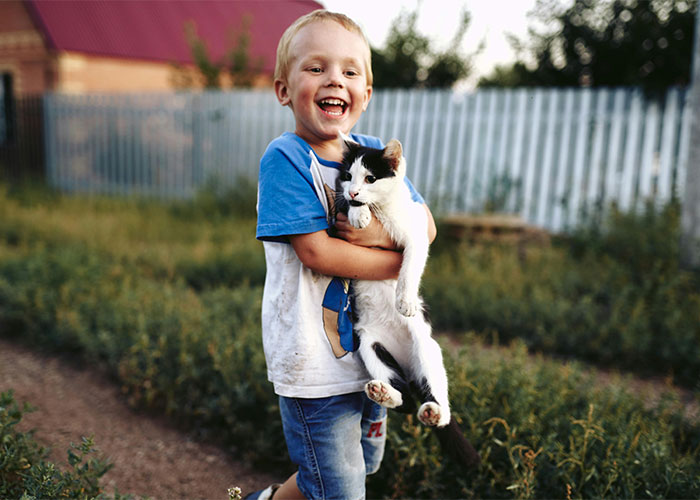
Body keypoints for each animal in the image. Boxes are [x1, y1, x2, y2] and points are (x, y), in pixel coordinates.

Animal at [338, 134, 482, 468]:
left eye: (370, 178)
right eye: (348, 176)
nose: (353, 191)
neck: (384, 209)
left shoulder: (417, 234)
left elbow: (409, 267)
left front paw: (404, 301)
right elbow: (350, 210)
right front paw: (358, 211)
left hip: (427, 349)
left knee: (435, 403)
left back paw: (433, 412)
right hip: (370, 346)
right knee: (403, 398)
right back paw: (383, 392)